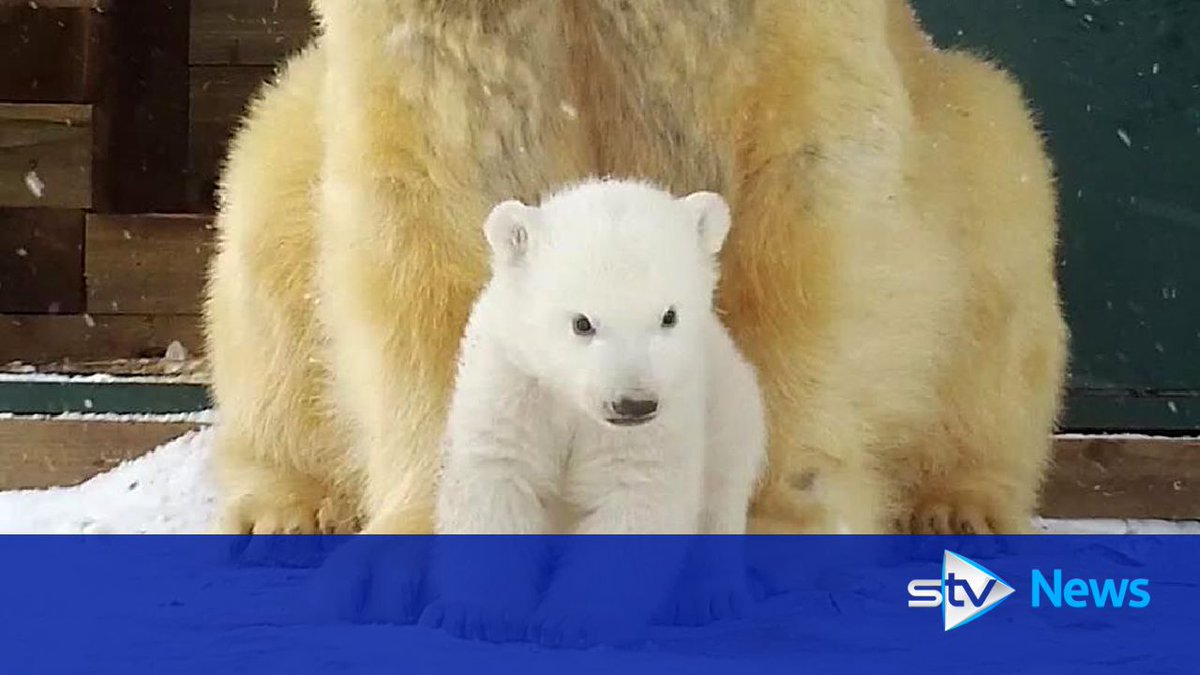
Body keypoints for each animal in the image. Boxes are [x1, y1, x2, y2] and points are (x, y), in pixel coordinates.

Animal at [205, 0, 1067, 540]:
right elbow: (429, 204)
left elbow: (805, 200)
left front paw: (767, 516)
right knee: (264, 210)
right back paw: (286, 507)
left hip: (980, 146)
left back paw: (959, 503)